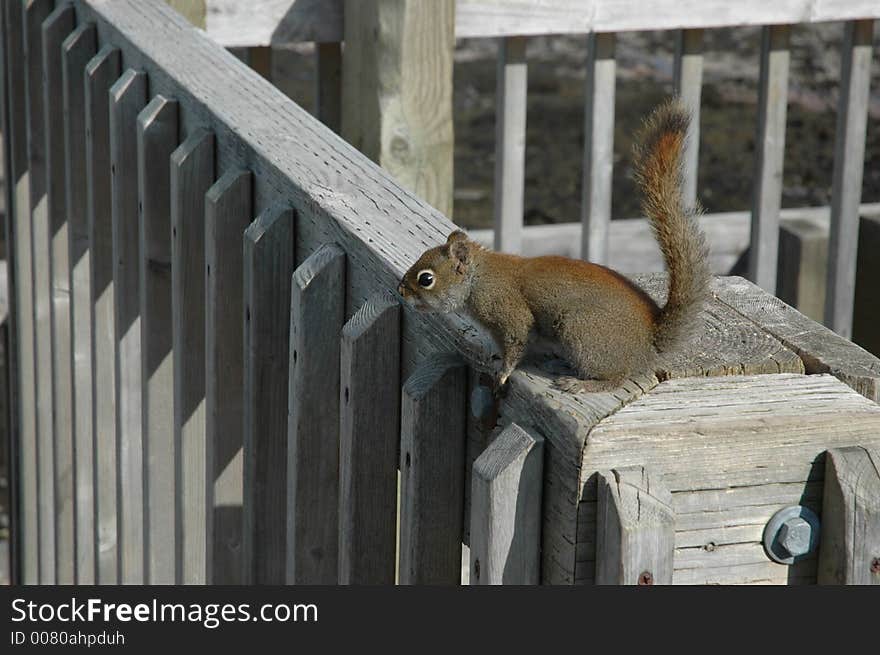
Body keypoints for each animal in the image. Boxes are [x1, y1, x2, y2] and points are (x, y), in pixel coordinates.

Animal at [398, 100, 708, 392]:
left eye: (426, 279)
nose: (401, 291)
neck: (479, 278)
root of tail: (649, 343)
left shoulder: (509, 313)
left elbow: (516, 343)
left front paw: (503, 373)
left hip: (581, 330)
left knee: (617, 377)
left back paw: (583, 384)